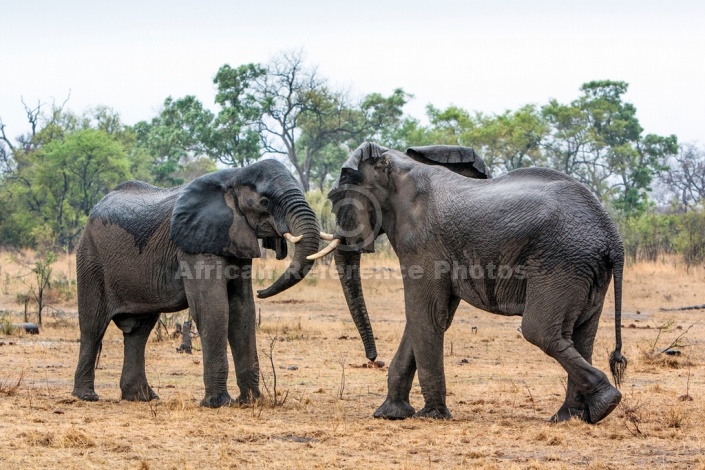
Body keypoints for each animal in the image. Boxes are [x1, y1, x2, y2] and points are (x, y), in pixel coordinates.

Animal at [71, 159, 320, 408]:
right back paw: (87, 396)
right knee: (93, 326)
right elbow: (213, 308)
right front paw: (218, 403)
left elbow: (242, 310)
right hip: (90, 257)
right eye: (265, 202)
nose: (262, 291)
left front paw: (250, 401)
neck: (234, 176)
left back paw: (141, 397)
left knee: (139, 331)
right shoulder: (195, 245)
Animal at [312, 141, 628, 424]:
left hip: (562, 262)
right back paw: (571, 417)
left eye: (336, 198)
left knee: (540, 331)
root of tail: (612, 236)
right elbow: (433, 317)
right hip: (585, 269)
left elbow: (425, 314)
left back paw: (604, 404)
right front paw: (390, 414)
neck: (397, 165)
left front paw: (431, 415)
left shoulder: (421, 242)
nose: (372, 357)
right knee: (581, 335)